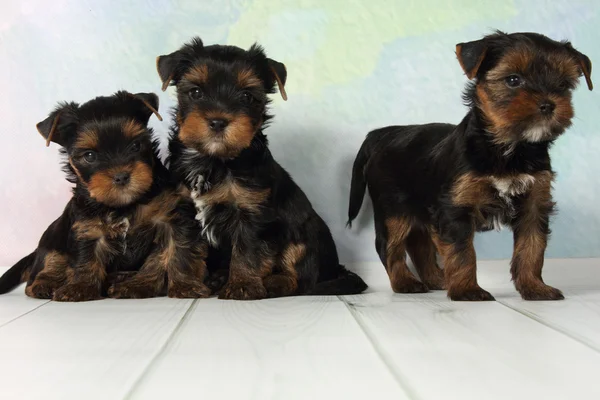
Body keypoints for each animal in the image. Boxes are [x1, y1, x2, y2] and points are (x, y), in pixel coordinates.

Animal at [0, 90, 211, 302]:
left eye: (136, 145)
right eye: (89, 156)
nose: (121, 176)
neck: (123, 205)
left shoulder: (172, 216)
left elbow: (178, 250)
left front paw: (185, 285)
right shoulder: (88, 226)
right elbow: (86, 257)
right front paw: (80, 287)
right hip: (54, 235)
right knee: (49, 262)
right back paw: (46, 284)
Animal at [157, 37, 368, 300]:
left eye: (247, 96)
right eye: (195, 92)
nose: (218, 121)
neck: (213, 160)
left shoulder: (252, 210)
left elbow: (248, 249)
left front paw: (243, 285)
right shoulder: (183, 207)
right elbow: (184, 246)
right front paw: (186, 286)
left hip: (304, 234)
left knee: (301, 278)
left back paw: (274, 283)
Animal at [346, 30, 592, 300]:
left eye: (564, 85)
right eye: (513, 80)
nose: (548, 104)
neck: (509, 149)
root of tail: (383, 134)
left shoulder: (534, 203)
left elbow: (532, 247)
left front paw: (534, 287)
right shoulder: (456, 206)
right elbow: (462, 251)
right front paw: (467, 290)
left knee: (420, 244)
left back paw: (436, 279)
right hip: (393, 209)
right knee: (389, 245)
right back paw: (404, 282)